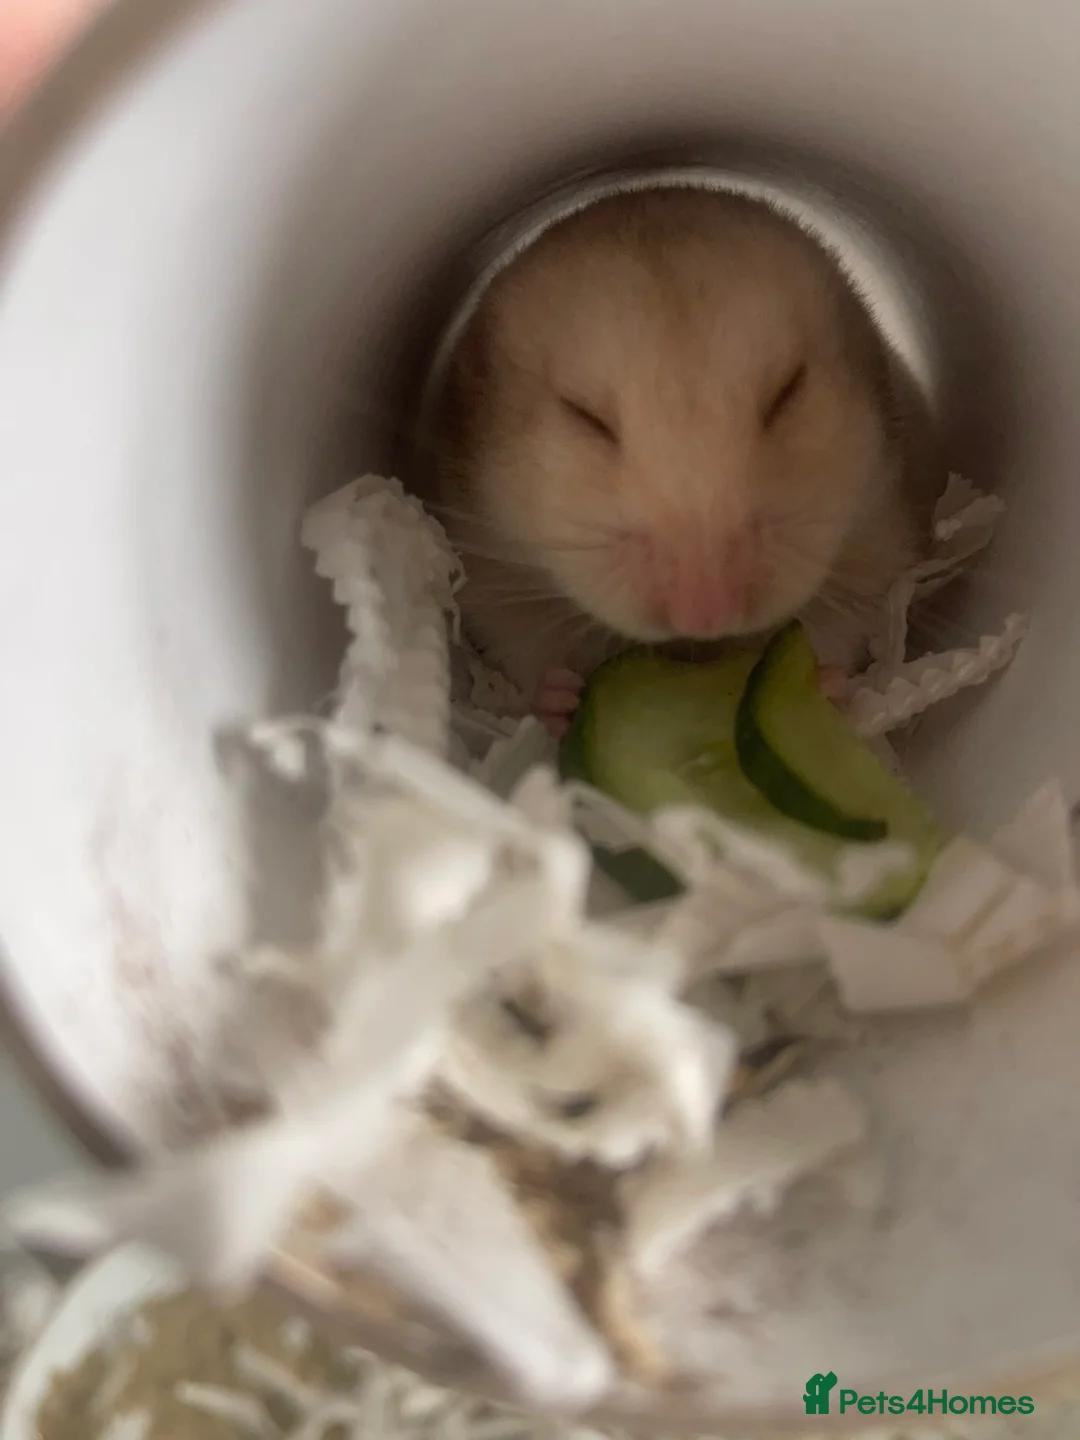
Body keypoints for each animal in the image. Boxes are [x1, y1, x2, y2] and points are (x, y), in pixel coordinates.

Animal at [429, 188, 943, 730]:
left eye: (786, 393)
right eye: (584, 416)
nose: (707, 614)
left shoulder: (878, 540)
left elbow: (840, 627)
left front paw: (819, 687)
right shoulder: (488, 573)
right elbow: (524, 645)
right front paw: (561, 701)